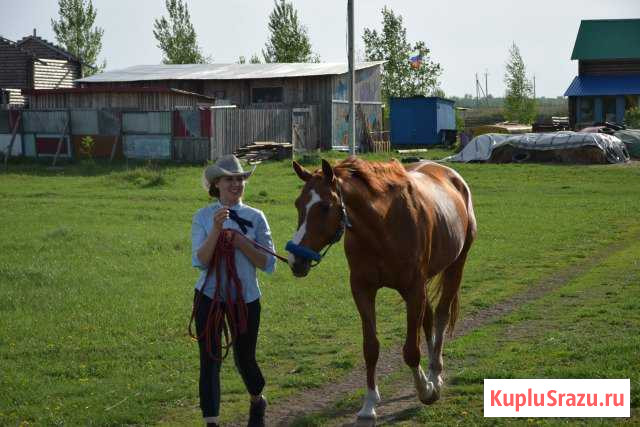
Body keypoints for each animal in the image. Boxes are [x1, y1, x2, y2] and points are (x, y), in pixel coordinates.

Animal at [288, 158, 476, 422]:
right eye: (298, 204)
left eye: (324, 206)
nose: (296, 260)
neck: (383, 225)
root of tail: (450, 174)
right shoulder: (363, 290)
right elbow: (371, 348)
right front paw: (369, 404)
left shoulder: (413, 290)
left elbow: (411, 350)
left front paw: (426, 390)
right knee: (429, 320)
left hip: (455, 266)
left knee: (440, 316)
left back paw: (435, 375)